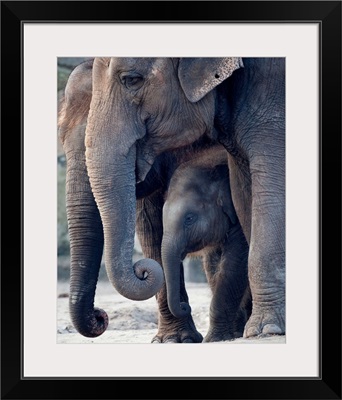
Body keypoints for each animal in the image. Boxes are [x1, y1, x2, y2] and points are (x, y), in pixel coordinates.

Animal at [160, 145, 251, 342]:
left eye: (189, 218)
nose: (185, 306)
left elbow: (235, 264)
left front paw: (214, 339)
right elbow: (212, 267)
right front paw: (233, 333)